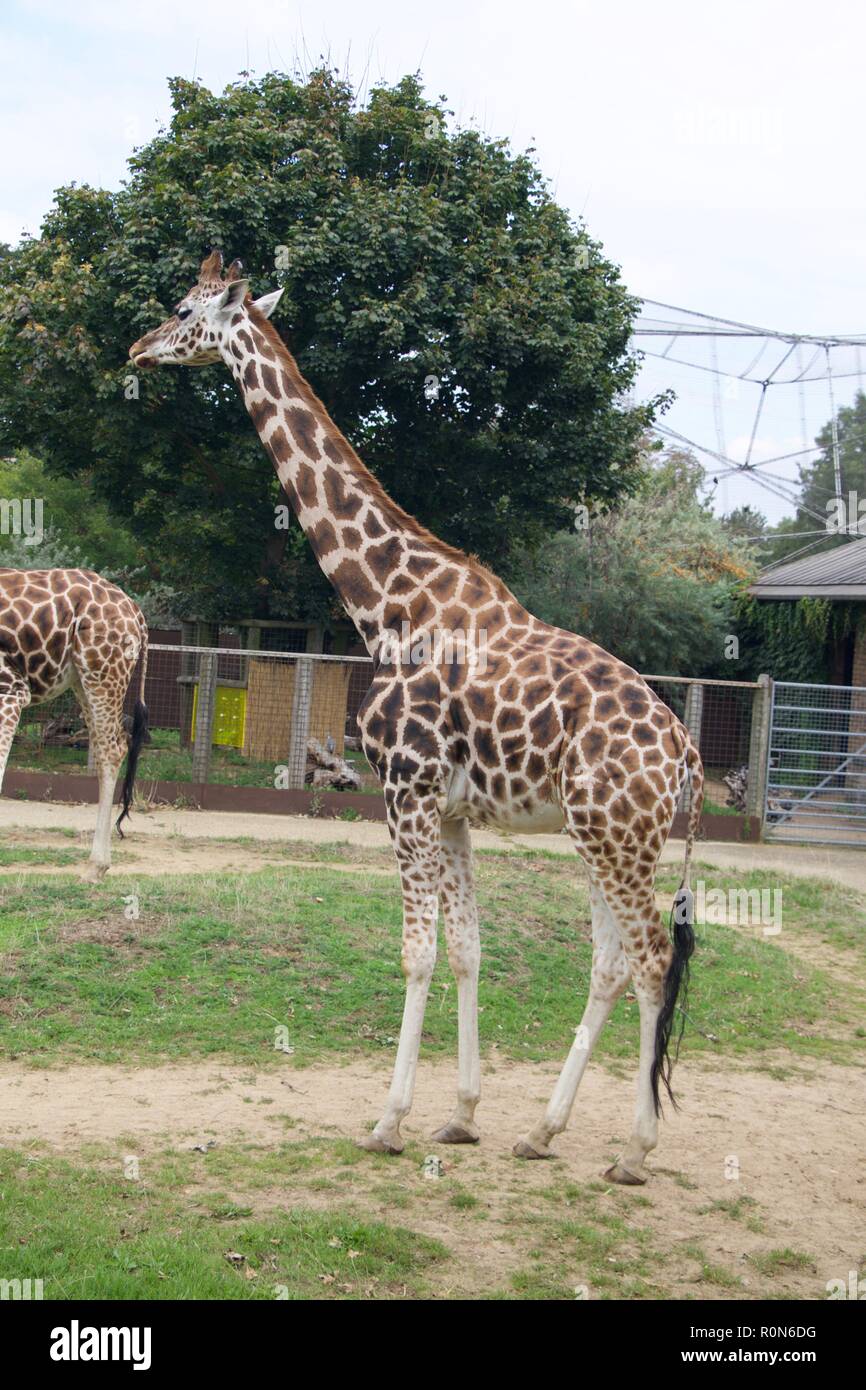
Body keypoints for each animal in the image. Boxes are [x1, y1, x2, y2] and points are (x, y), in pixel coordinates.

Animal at [0, 567, 148, 880]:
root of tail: (136, 614)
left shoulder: (11, 690)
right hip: (80, 679)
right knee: (107, 747)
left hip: (102, 672)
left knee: (113, 749)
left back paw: (95, 867)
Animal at [130, 251, 704, 1183]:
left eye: (183, 309)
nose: (138, 348)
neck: (386, 602)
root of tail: (688, 753)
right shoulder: (455, 809)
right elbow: (468, 949)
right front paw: (461, 1114)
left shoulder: (405, 792)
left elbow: (418, 951)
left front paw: (388, 1120)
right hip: (609, 837)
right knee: (613, 961)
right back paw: (542, 1131)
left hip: (615, 837)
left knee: (650, 958)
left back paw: (632, 1151)